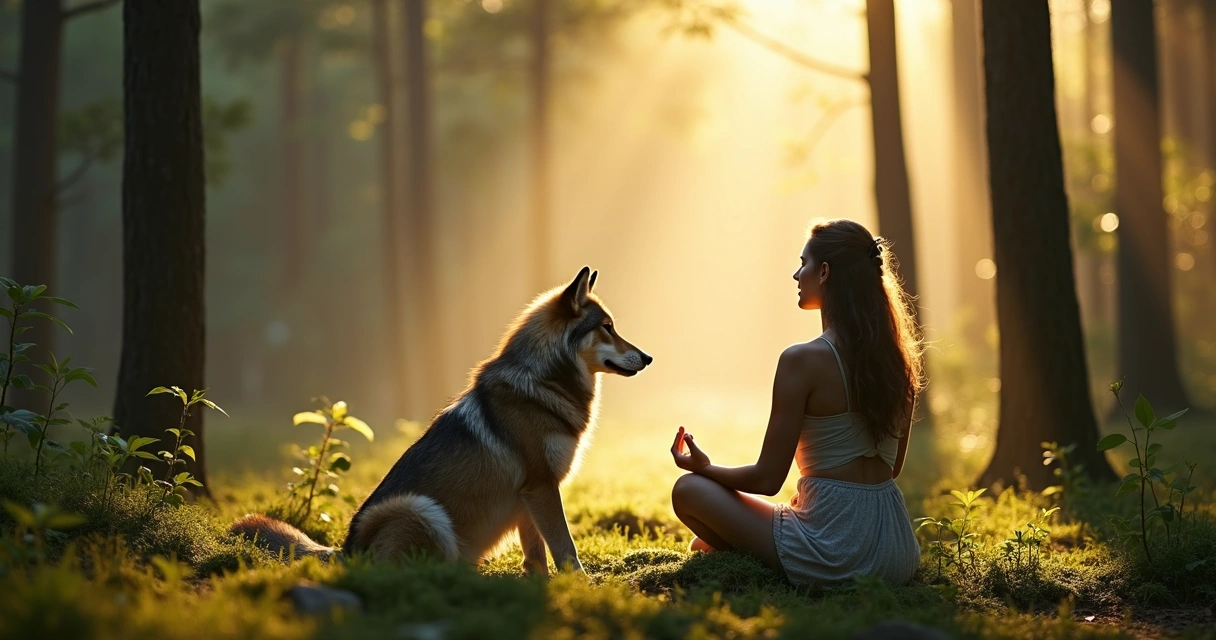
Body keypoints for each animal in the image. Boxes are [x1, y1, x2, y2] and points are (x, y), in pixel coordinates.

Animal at [231, 267, 651, 575]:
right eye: (608, 327)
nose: (648, 357)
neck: (544, 383)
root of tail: (345, 551)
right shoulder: (541, 486)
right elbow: (565, 547)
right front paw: (581, 584)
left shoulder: (530, 495)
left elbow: (537, 555)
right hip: (420, 510)